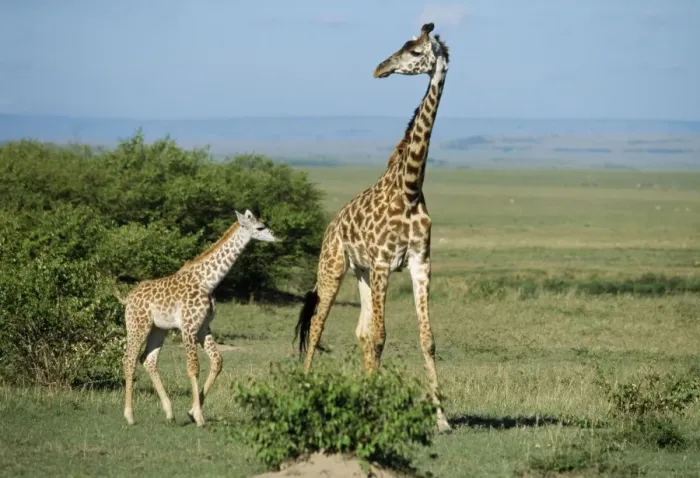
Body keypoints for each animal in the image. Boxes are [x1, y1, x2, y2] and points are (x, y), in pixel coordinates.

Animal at [115, 209, 278, 427]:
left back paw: (169, 413)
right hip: (137, 326)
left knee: (148, 360)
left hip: (159, 329)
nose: (276, 236)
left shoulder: (203, 327)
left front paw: (192, 411)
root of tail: (127, 298)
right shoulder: (189, 326)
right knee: (129, 359)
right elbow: (193, 367)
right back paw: (129, 415)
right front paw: (199, 417)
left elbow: (217, 361)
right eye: (260, 227)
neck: (208, 282)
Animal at [293, 23, 452, 433]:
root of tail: (331, 226)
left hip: (361, 273)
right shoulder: (383, 263)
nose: (380, 68)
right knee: (317, 326)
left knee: (361, 333)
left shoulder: (419, 264)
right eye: (404, 45)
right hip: (333, 268)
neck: (409, 189)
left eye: (415, 52)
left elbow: (427, 339)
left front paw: (442, 419)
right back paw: (305, 387)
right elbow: (381, 337)